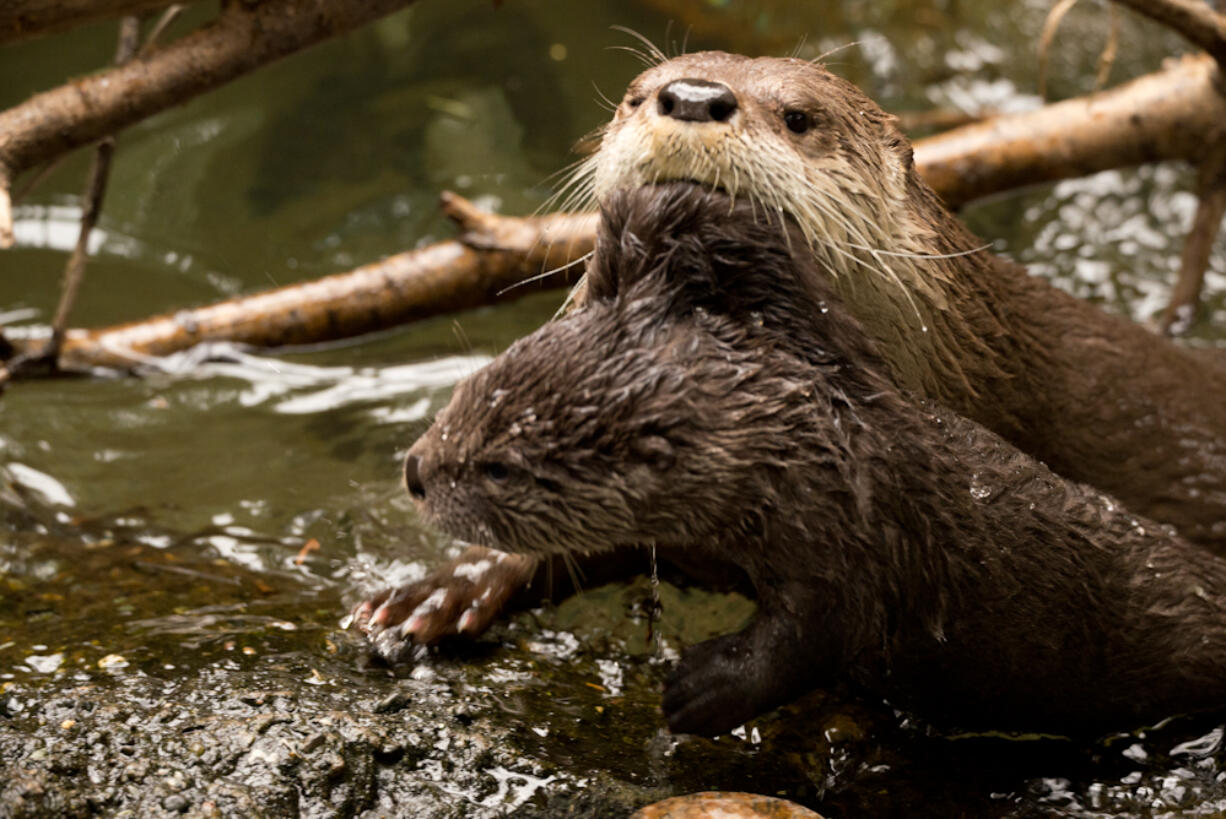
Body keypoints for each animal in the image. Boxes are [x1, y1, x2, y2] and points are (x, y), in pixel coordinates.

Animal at [377, 185, 1226, 735]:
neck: (788, 458)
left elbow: (812, 636)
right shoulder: (685, 536)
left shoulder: (857, 549)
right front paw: (444, 591)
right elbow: (575, 557)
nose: (415, 468)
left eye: (498, 465)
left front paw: (703, 688)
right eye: (466, 391)